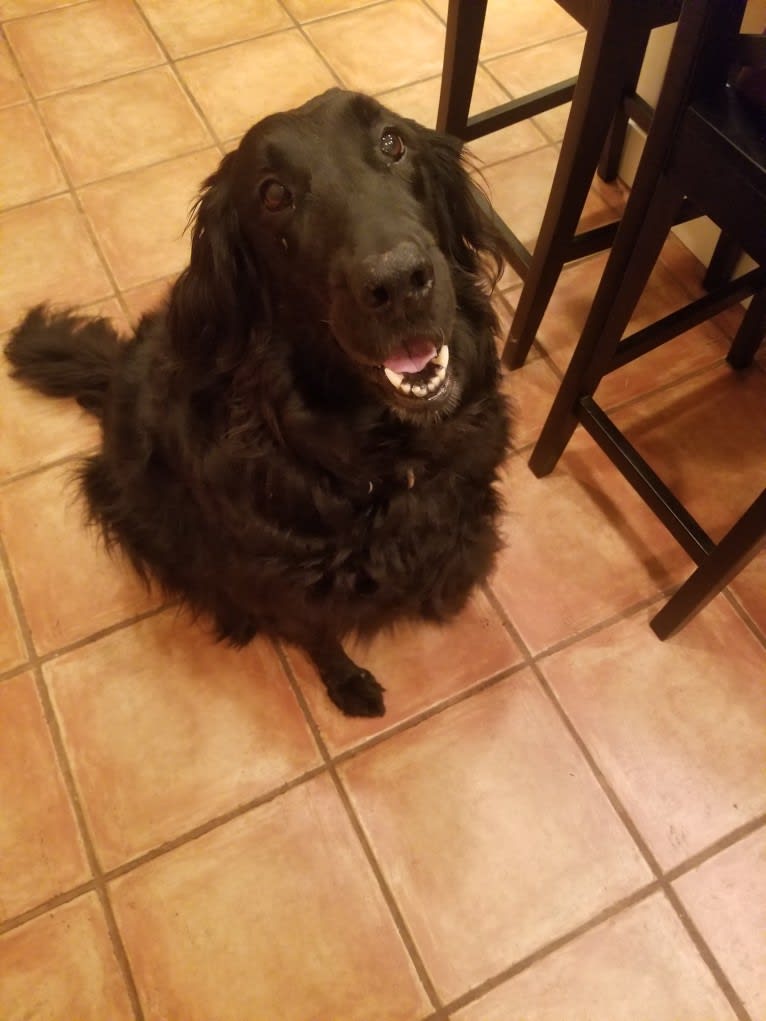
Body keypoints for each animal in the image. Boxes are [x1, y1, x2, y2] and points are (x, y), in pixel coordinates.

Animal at [6, 93, 512, 718]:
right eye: (274, 195)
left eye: (393, 142)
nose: (399, 282)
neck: (379, 457)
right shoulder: (282, 580)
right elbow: (318, 636)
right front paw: (347, 684)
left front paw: (448, 591)